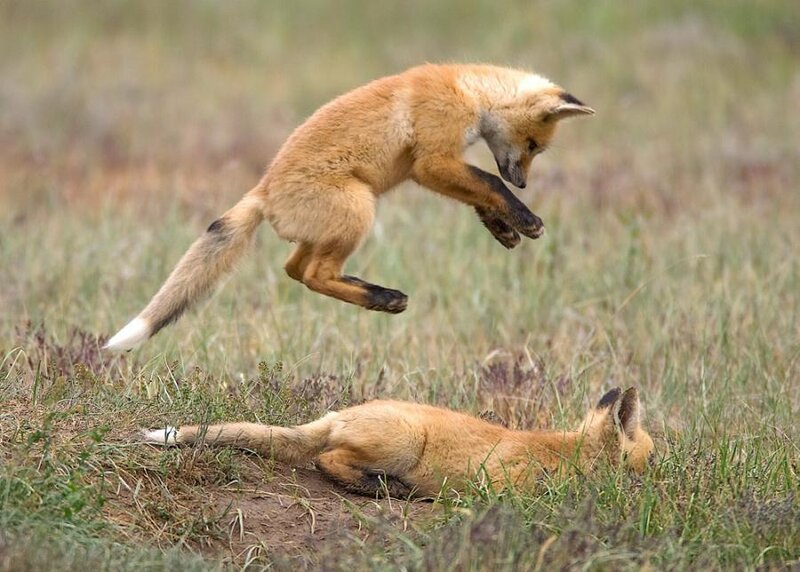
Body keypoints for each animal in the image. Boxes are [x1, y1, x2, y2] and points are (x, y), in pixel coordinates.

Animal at [106, 63, 594, 351]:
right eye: (532, 145)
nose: (523, 182)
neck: (467, 90)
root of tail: (263, 190)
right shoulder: (431, 160)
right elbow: (488, 182)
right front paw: (525, 219)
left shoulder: (431, 167)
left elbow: (481, 194)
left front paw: (504, 228)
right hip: (359, 209)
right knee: (313, 274)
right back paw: (384, 297)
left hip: (331, 225)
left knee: (294, 269)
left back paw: (375, 295)